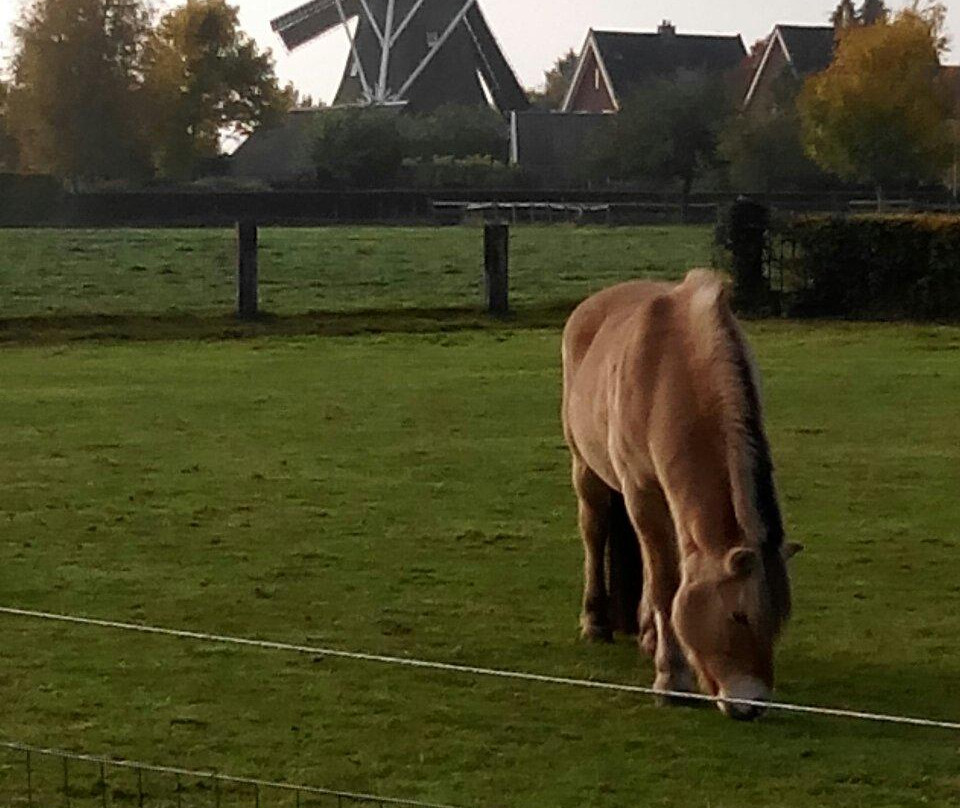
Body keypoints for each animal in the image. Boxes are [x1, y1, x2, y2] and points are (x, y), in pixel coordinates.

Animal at [564, 272, 804, 720]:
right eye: (739, 616)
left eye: (778, 620)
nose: (753, 704)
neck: (670, 372)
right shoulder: (642, 492)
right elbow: (664, 582)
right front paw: (671, 680)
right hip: (586, 468)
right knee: (594, 532)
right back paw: (596, 621)